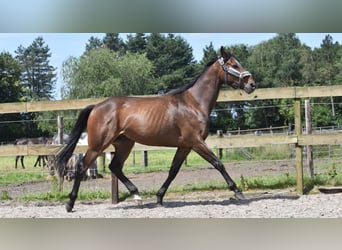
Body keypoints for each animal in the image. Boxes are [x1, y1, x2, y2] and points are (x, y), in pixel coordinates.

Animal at [56, 46, 255, 212]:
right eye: (233, 65)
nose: (251, 84)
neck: (194, 103)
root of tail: (96, 106)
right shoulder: (196, 142)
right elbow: (218, 163)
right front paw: (238, 192)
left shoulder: (185, 146)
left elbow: (173, 170)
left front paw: (159, 197)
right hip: (99, 144)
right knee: (82, 167)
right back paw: (69, 204)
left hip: (124, 144)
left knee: (115, 167)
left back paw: (137, 196)